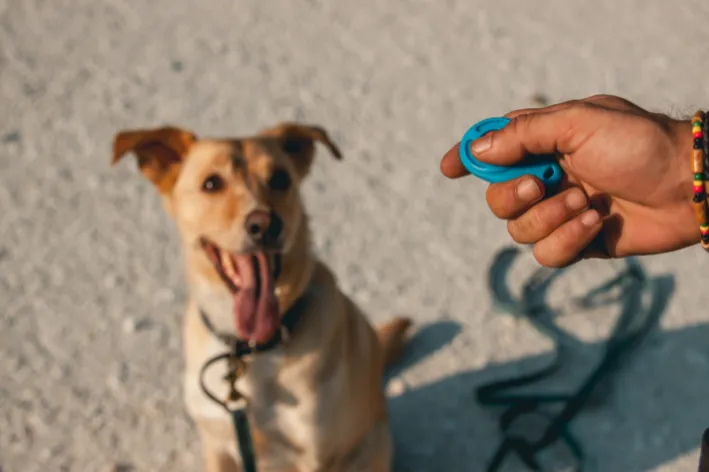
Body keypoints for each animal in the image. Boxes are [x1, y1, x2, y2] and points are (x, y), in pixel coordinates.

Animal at [110, 122, 410, 472]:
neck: (251, 349)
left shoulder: (314, 456)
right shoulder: (218, 444)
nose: (265, 225)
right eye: (211, 183)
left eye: (280, 178)